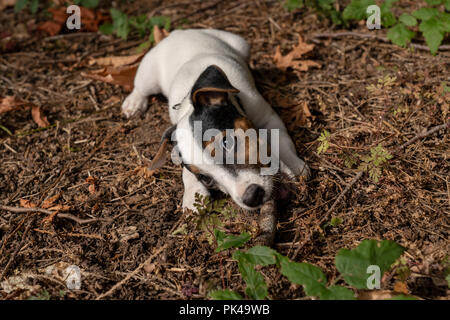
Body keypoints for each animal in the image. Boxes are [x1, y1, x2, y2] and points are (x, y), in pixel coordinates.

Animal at [121, 28, 310, 211]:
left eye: (227, 142)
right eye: (205, 178)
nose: (252, 197)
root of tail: (178, 32)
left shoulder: (268, 117)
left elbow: (280, 141)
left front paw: (294, 164)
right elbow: (186, 171)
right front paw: (193, 193)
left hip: (241, 44)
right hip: (149, 75)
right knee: (140, 88)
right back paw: (134, 102)